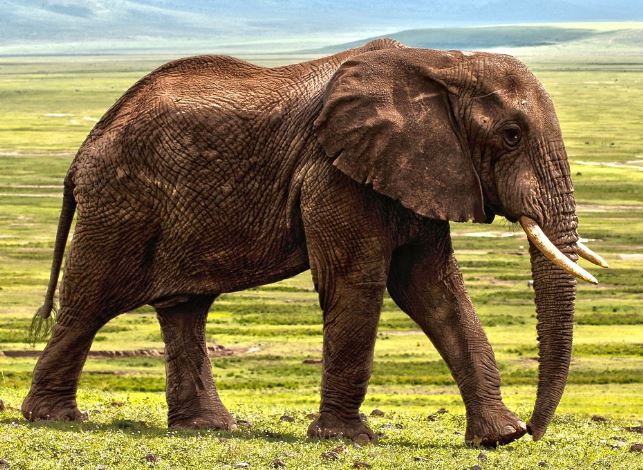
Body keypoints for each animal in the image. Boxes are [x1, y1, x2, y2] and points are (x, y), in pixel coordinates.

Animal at [22, 38, 607, 447]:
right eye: (511, 135)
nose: (535, 430)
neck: (442, 64)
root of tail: (84, 147)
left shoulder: (417, 171)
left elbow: (434, 290)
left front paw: (498, 439)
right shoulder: (333, 173)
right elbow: (358, 283)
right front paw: (349, 440)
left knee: (184, 307)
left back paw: (207, 428)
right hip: (120, 201)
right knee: (90, 301)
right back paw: (54, 419)